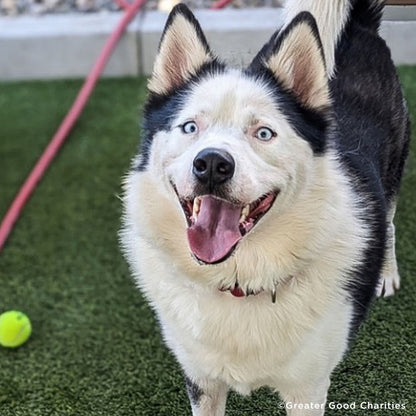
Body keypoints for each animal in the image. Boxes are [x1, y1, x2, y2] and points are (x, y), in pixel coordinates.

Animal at [121, 0, 410, 412]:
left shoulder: (308, 388)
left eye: (263, 133)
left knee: (389, 221)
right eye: (190, 127)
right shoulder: (201, 379)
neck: (239, 279)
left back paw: (386, 274)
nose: (212, 163)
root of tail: (358, 26)